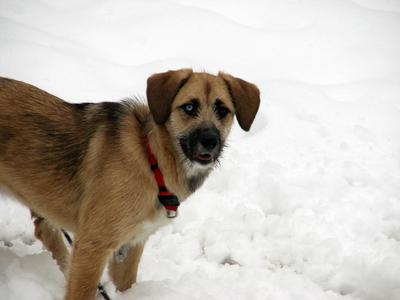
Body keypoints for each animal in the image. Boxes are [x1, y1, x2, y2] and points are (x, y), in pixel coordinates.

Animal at [0, 68, 260, 300]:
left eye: (222, 110)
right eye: (189, 107)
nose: (210, 141)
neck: (152, 159)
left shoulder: (131, 246)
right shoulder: (93, 245)